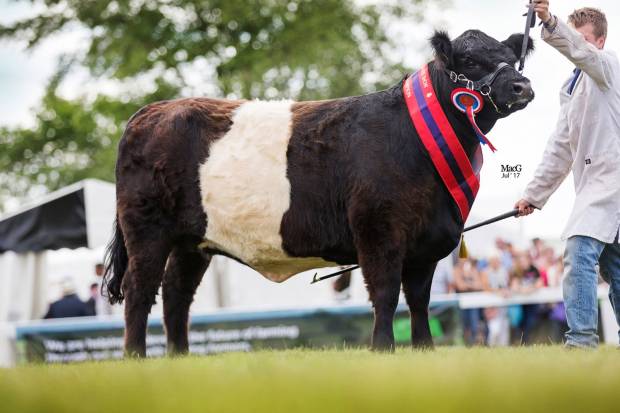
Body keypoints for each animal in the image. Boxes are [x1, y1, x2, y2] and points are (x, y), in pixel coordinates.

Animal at [104, 30, 536, 356]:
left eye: (512, 60)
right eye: (471, 61)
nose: (522, 86)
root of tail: (151, 111)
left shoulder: (426, 242)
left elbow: (418, 300)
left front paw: (425, 350)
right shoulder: (378, 230)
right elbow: (384, 293)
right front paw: (383, 350)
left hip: (193, 242)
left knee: (176, 294)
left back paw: (179, 358)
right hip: (147, 229)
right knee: (139, 291)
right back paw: (135, 356)